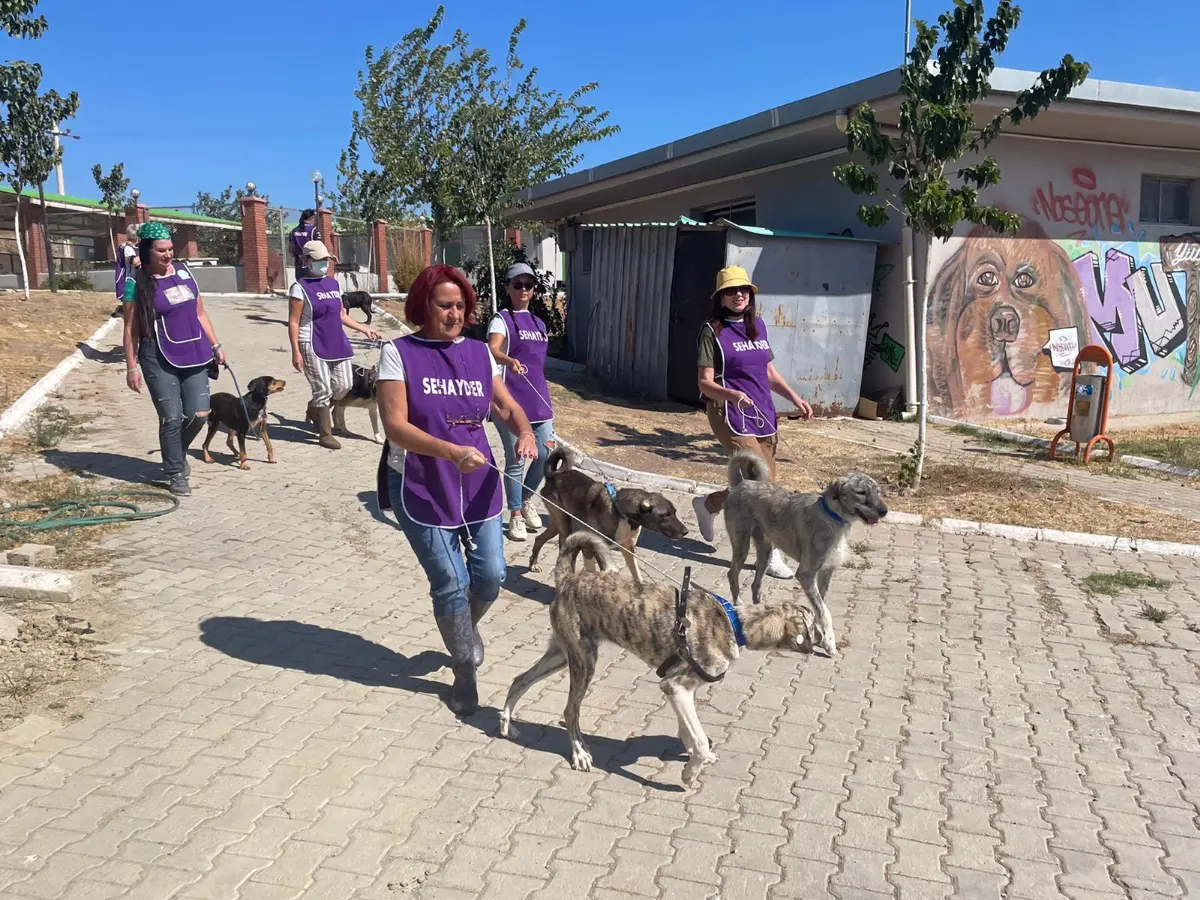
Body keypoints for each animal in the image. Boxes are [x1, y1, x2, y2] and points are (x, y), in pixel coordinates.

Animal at [496, 535, 816, 787]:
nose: (817, 649)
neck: (735, 623)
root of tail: (567, 579)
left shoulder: (681, 688)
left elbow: (688, 730)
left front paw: (692, 758)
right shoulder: (676, 686)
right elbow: (699, 740)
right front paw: (690, 772)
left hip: (561, 654)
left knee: (520, 679)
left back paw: (507, 724)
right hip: (583, 661)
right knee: (569, 710)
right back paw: (579, 753)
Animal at [530, 448, 691, 588]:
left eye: (675, 512)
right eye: (665, 515)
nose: (686, 532)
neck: (622, 513)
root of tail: (554, 475)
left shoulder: (629, 549)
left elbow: (637, 574)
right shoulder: (590, 549)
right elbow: (593, 572)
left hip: (558, 523)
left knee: (539, 538)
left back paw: (533, 564)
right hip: (564, 527)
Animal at [720, 458, 883, 657]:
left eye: (878, 491)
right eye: (861, 492)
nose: (884, 511)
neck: (833, 517)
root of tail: (741, 484)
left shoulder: (826, 572)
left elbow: (820, 608)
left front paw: (821, 637)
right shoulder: (806, 574)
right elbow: (824, 611)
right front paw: (829, 641)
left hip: (766, 552)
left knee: (755, 585)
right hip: (742, 544)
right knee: (732, 575)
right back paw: (738, 607)